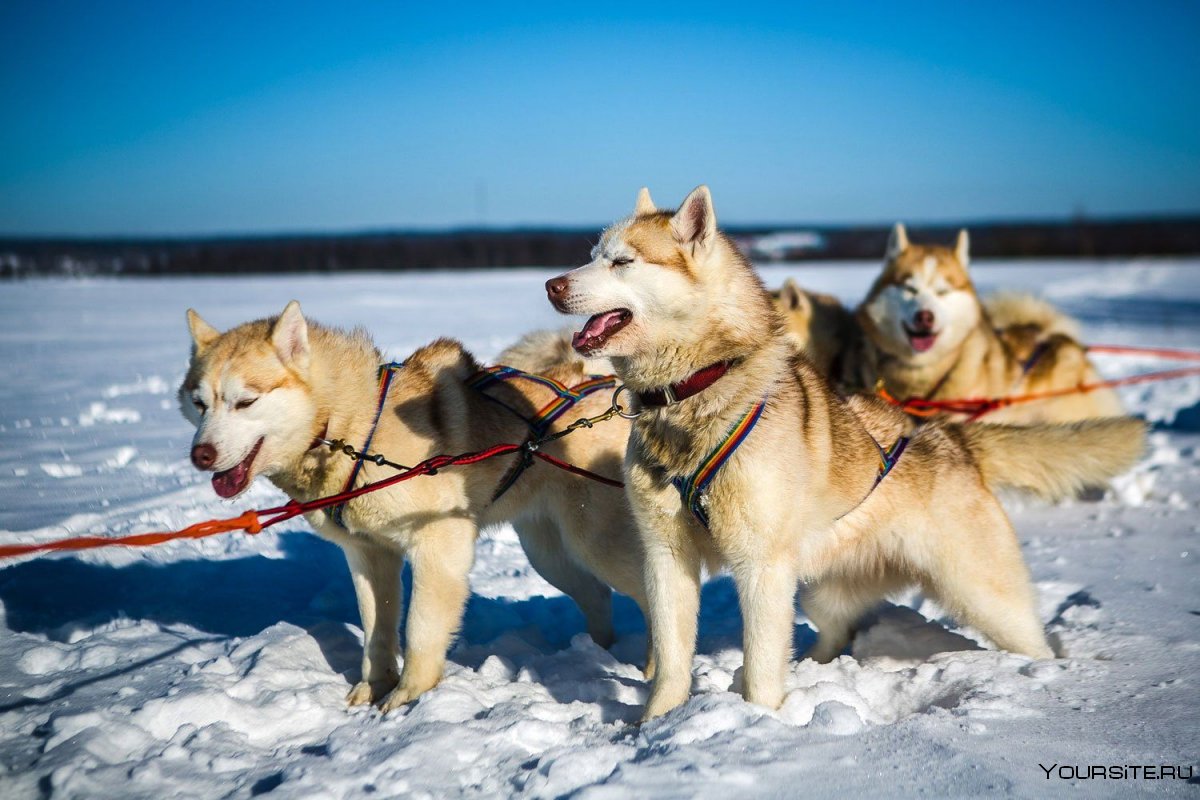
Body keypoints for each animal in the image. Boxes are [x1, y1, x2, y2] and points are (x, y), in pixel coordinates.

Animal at [177, 307, 648, 714]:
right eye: (200, 404)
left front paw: (407, 697)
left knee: (652, 595)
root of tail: (608, 385)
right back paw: (600, 649)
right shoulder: (369, 554)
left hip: (596, 545)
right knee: (597, 595)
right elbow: (377, 631)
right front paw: (372, 687)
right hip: (549, 555)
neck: (355, 429)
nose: (201, 455)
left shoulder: (440, 545)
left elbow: (420, 628)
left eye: (246, 401)